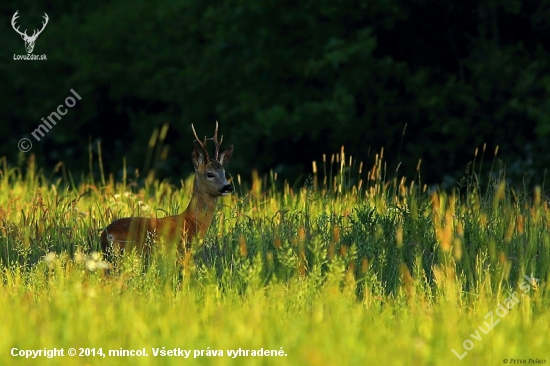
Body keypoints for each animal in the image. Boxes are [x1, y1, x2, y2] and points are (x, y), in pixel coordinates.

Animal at [100, 123, 234, 258]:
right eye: (210, 174)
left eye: (224, 172)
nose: (228, 186)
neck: (192, 222)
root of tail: (107, 235)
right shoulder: (181, 253)